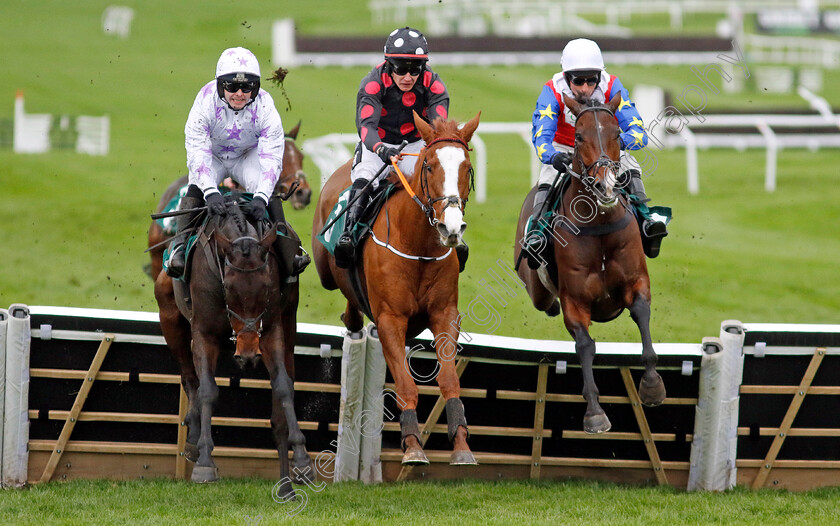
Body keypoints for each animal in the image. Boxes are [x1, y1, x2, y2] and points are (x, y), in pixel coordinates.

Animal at [153, 195, 312, 496]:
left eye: (266, 287)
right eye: (227, 287)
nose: (248, 352)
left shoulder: (271, 330)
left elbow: (284, 386)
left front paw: (301, 458)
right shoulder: (204, 334)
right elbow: (207, 391)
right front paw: (204, 461)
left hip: (289, 323)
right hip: (170, 318)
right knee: (190, 379)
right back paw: (193, 438)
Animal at [312, 111, 482, 466]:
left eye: (467, 167)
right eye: (429, 165)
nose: (451, 227)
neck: (418, 247)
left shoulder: (445, 314)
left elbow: (449, 379)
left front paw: (461, 446)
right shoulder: (391, 319)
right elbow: (405, 385)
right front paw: (413, 445)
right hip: (324, 269)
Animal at [512, 95, 664, 438]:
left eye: (617, 134)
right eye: (579, 137)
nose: (605, 186)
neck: (600, 225)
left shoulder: (637, 281)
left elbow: (642, 315)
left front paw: (651, 385)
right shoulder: (575, 299)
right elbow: (584, 345)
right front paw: (594, 413)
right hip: (536, 286)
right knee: (545, 302)